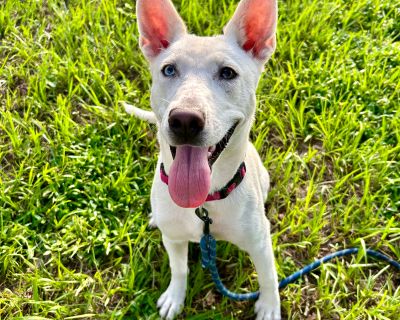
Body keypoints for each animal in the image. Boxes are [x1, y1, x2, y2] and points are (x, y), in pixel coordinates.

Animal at [125, 0, 282, 318]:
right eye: (169, 69)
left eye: (228, 73)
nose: (185, 120)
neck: (204, 203)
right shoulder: (173, 239)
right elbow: (179, 269)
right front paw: (175, 297)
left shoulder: (260, 242)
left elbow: (268, 275)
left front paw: (270, 306)